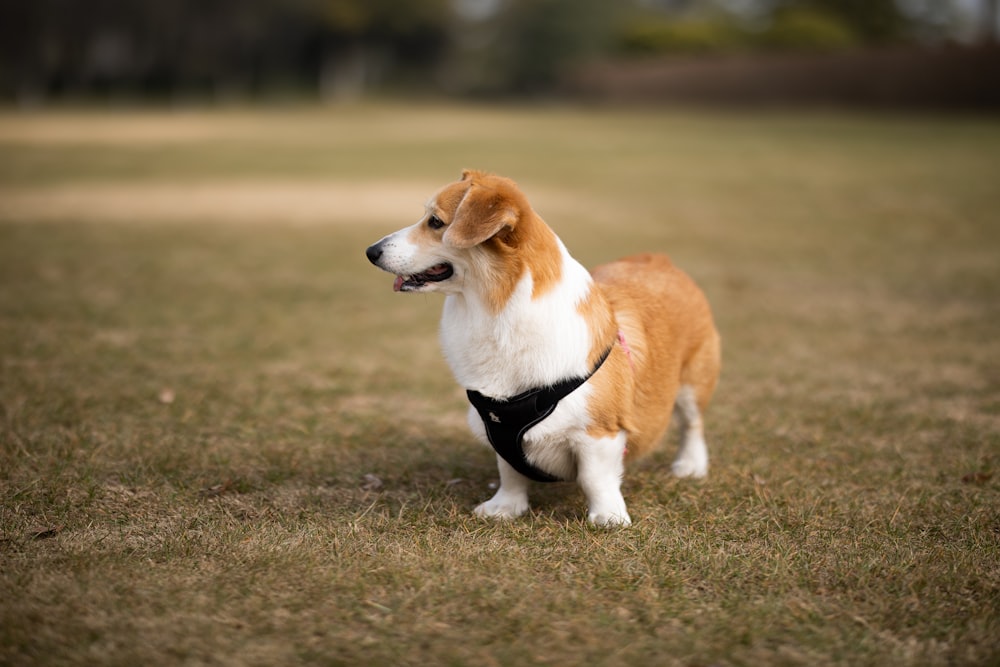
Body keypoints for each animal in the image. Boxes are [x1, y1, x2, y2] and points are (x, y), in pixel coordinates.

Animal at [366, 171, 720, 528]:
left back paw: (690, 466)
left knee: (692, 424)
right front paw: (505, 508)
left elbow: (595, 478)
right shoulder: (499, 433)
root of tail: (661, 260)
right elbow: (509, 472)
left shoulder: (598, 433)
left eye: (436, 222)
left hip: (693, 383)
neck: (497, 313)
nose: (371, 252)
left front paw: (607, 516)